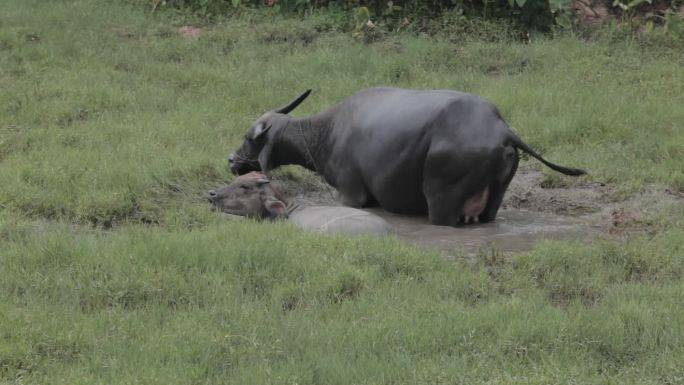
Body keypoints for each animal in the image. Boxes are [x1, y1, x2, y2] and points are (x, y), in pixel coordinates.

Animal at [228, 87, 584, 225]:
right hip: (493, 201)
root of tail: (501, 129)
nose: (232, 160)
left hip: (442, 202)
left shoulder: (351, 195)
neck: (327, 132)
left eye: (248, 137)